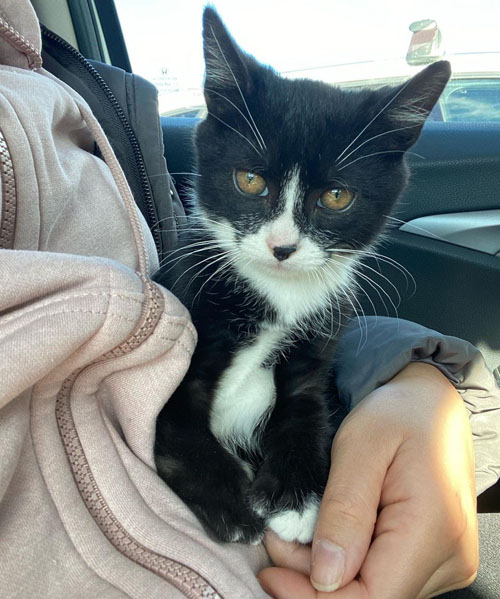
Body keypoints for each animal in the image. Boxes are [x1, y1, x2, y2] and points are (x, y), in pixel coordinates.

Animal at [154, 7, 452, 548]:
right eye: (250, 180)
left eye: (336, 196)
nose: (283, 246)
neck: (278, 295)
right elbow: (173, 422)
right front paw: (234, 507)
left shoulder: (321, 342)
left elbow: (305, 406)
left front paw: (298, 500)